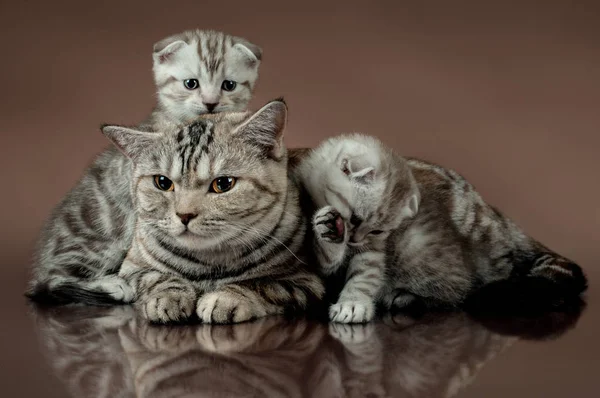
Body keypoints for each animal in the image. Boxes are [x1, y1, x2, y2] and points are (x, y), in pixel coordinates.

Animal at [26, 29, 260, 306]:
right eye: (191, 84)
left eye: (229, 85)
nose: (210, 103)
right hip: (100, 242)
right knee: (51, 282)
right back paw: (114, 286)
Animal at [99, 98, 324, 324]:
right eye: (162, 182)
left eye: (223, 184)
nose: (185, 215)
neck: (208, 264)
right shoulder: (132, 267)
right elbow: (156, 277)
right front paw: (168, 296)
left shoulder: (305, 280)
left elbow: (262, 284)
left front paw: (227, 298)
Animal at [298, 134, 588, 324]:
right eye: (355, 219)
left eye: (377, 231)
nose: (356, 241)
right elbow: (327, 257)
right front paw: (329, 229)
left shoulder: (374, 250)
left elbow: (363, 275)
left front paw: (353, 304)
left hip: (422, 247)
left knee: (463, 290)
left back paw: (403, 297)